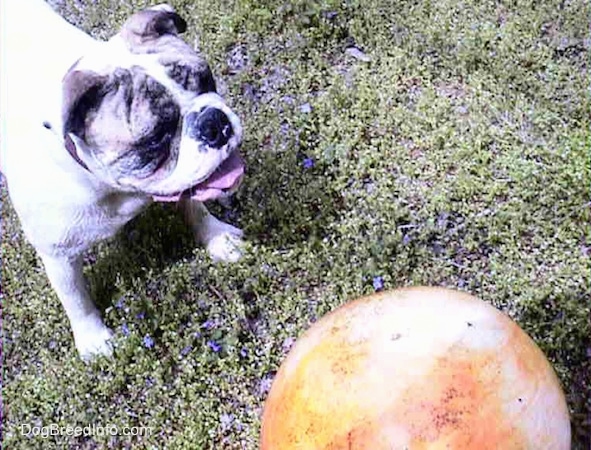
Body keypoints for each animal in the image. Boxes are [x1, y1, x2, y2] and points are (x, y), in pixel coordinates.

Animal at [1, 0, 246, 358]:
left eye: (206, 79)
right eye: (156, 137)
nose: (213, 123)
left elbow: (195, 208)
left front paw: (217, 237)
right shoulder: (58, 254)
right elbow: (75, 298)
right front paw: (93, 340)